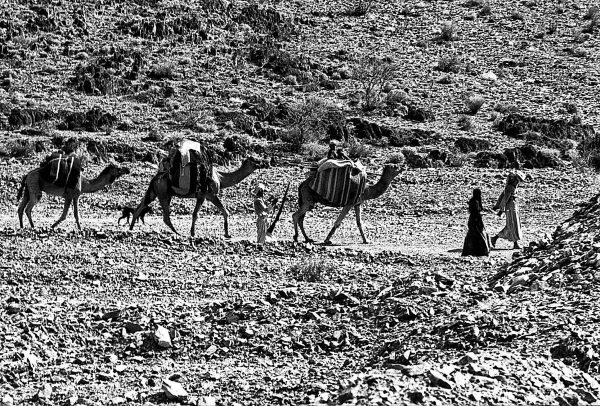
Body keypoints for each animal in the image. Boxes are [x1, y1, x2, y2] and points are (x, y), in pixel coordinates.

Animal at [131, 156, 270, 238]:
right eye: (255, 160)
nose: (266, 162)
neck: (221, 178)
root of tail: (156, 177)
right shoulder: (206, 194)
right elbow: (197, 214)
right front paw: (193, 233)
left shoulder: (206, 195)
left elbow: (224, 211)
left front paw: (227, 234)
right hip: (164, 193)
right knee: (165, 216)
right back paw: (178, 233)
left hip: (154, 191)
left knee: (140, 206)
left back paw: (130, 229)